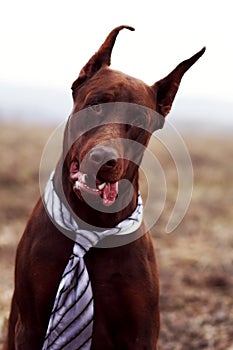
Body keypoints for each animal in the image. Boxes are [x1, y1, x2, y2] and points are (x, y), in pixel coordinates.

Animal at [4, 26, 205, 348]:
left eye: (139, 119)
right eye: (96, 104)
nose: (103, 158)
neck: (92, 223)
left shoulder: (141, 331)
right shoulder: (31, 324)